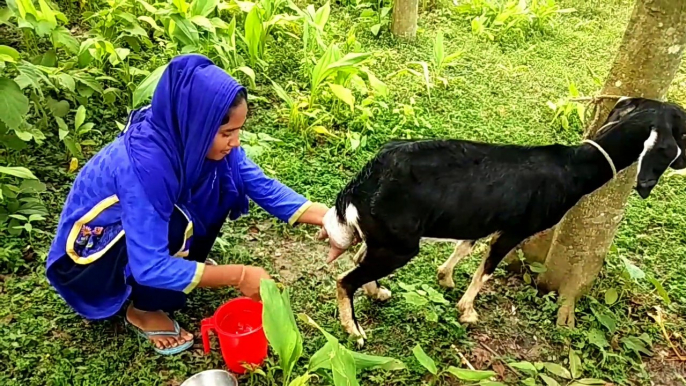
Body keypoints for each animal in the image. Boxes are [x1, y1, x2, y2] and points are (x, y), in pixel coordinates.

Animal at [322, 97, 686, 344]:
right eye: (682, 132)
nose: (683, 164)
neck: (574, 167)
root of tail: (369, 176)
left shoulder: (482, 218)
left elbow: (466, 248)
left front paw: (445, 278)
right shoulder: (515, 229)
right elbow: (485, 270)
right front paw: (467, 311)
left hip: (384, 238)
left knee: (359, 258)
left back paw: (376, 293)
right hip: (400, 246)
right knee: (345, 280)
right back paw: (354, 330)